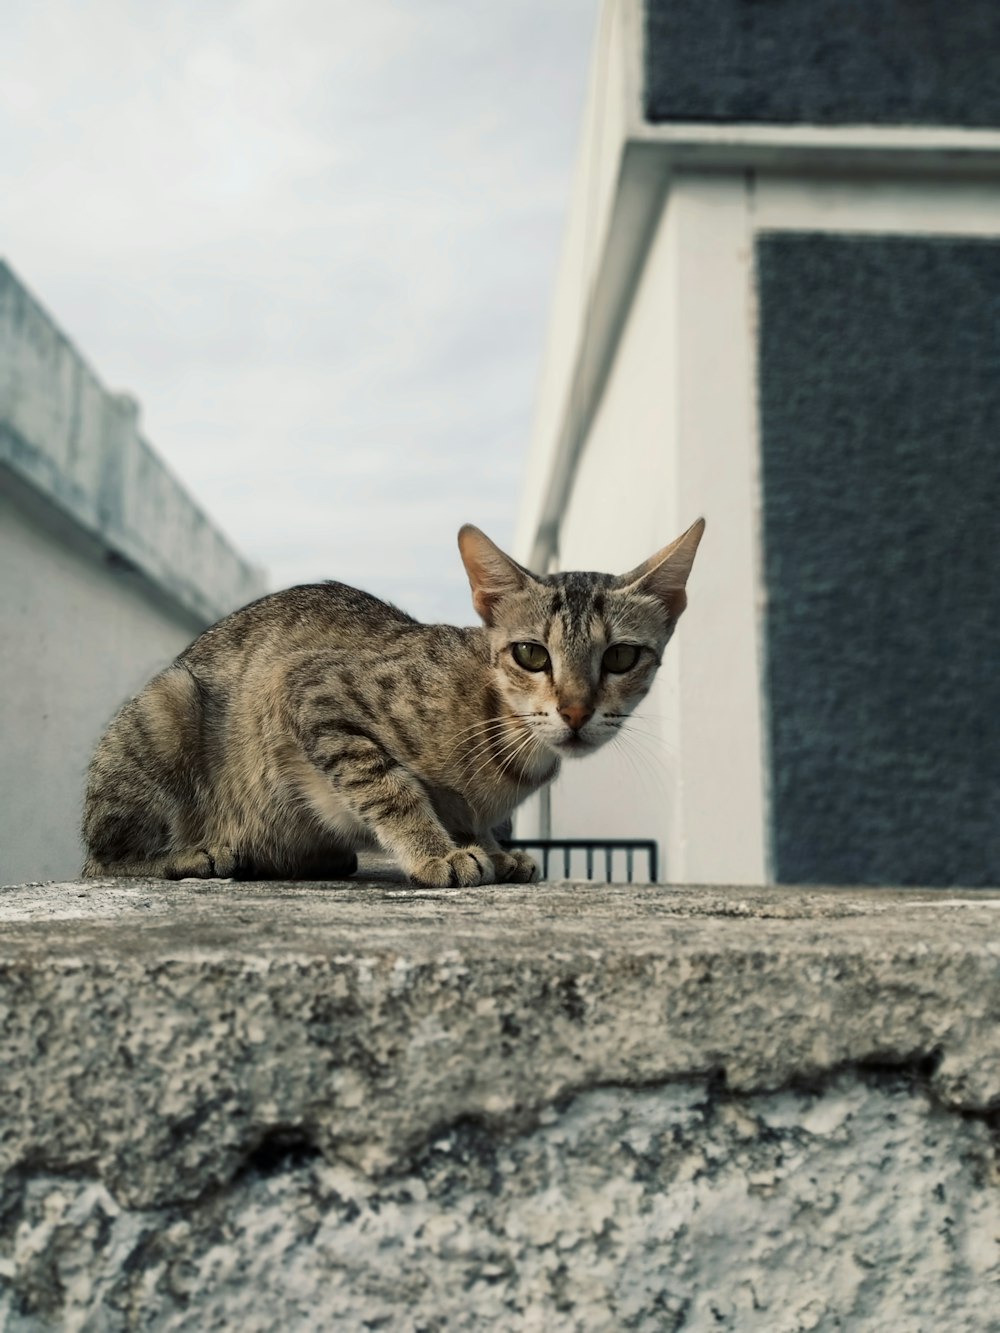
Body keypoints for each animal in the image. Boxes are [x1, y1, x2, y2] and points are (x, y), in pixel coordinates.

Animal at [84, 517, 704, 885]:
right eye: (531, 654)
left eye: (621, 657)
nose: (575, 711)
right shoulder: (310, 689)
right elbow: (392, 787)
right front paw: (438, 852)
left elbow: (474, 820)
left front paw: (495, 850)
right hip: (166, 707)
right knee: (102, 861)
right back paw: (190, 856)